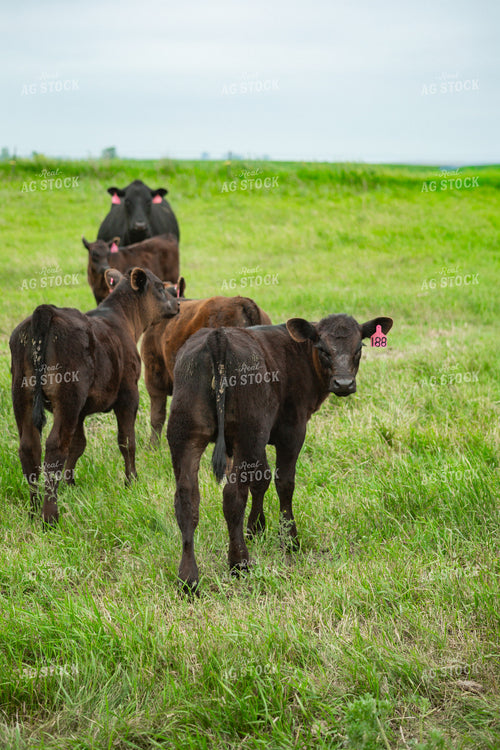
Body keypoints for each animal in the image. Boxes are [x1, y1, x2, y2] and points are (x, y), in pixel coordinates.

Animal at [10, 267, 179, 527]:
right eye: (161, 287)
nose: (178, 303)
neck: (122, 320)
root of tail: (46, 311)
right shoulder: (129, 394)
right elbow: (126, 440)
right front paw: (131, 480)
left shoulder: (81, 411)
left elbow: (78, 444)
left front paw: (70, 483)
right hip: (68, 397)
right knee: (55, 446)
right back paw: (50, 517)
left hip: (23, 395)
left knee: (30, 447)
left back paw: (33, 510)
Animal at [166, 313, 393, 592]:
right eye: (322, 349)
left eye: (359, 347)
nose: (344, 383)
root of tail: (217, 336)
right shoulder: (291, 430)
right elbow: (283, 482)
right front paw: (289, 538)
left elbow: (260, 479)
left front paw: (256, 528)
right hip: (247, 434)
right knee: (232, 496)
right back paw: (239, 563)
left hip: (185, 435)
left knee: (187, 500)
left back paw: (188, 578)